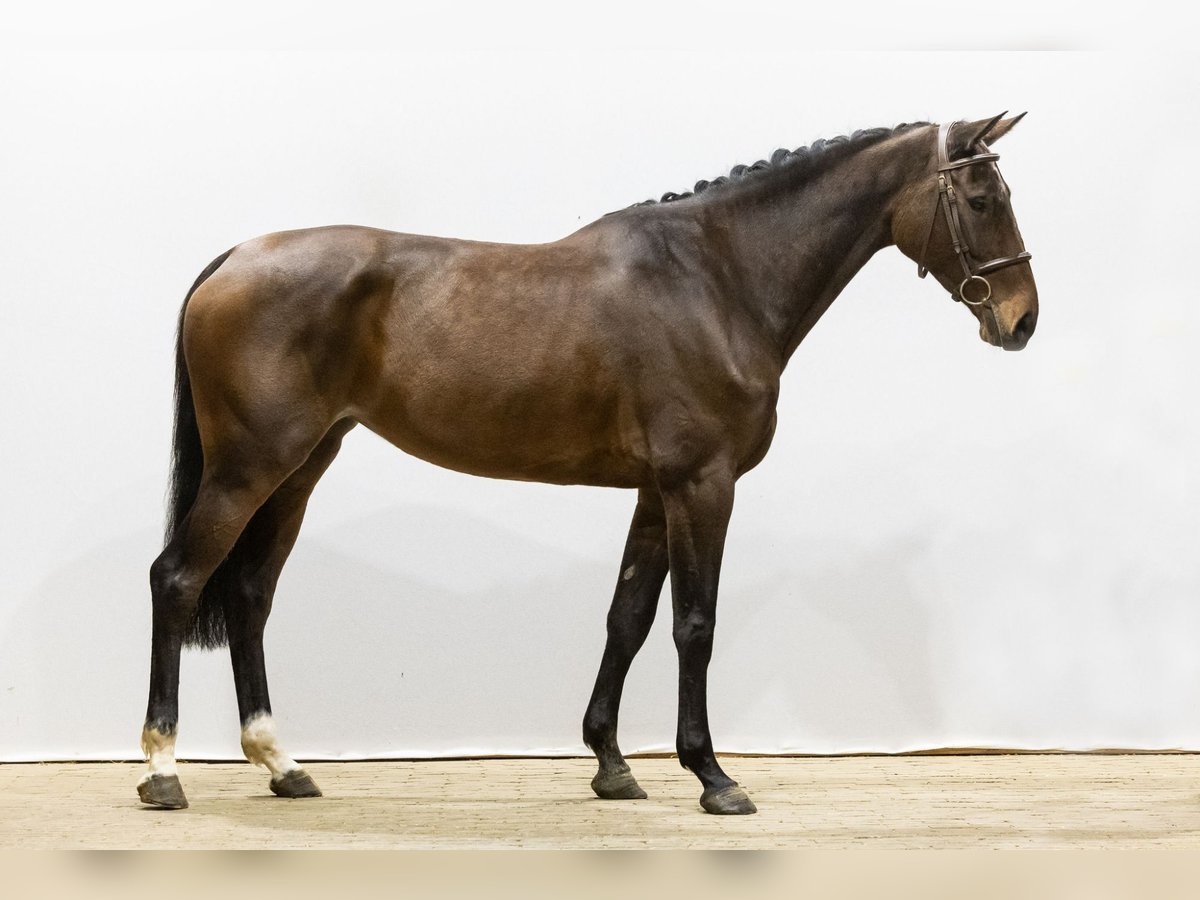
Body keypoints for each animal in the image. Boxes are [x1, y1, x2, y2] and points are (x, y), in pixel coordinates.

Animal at [140, 114, 1036, 816]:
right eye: (982, 200)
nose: (1022, 321)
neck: (715, 278)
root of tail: (235, 257)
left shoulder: (655, 491)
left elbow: (627, 618)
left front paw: (610, 764)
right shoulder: (701, 486)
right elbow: (694, 624)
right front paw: (712, 776)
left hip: (300, 467)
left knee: (250, 594)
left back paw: (282, 764)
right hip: (251, 468)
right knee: (179, 578)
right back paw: (162, 770)